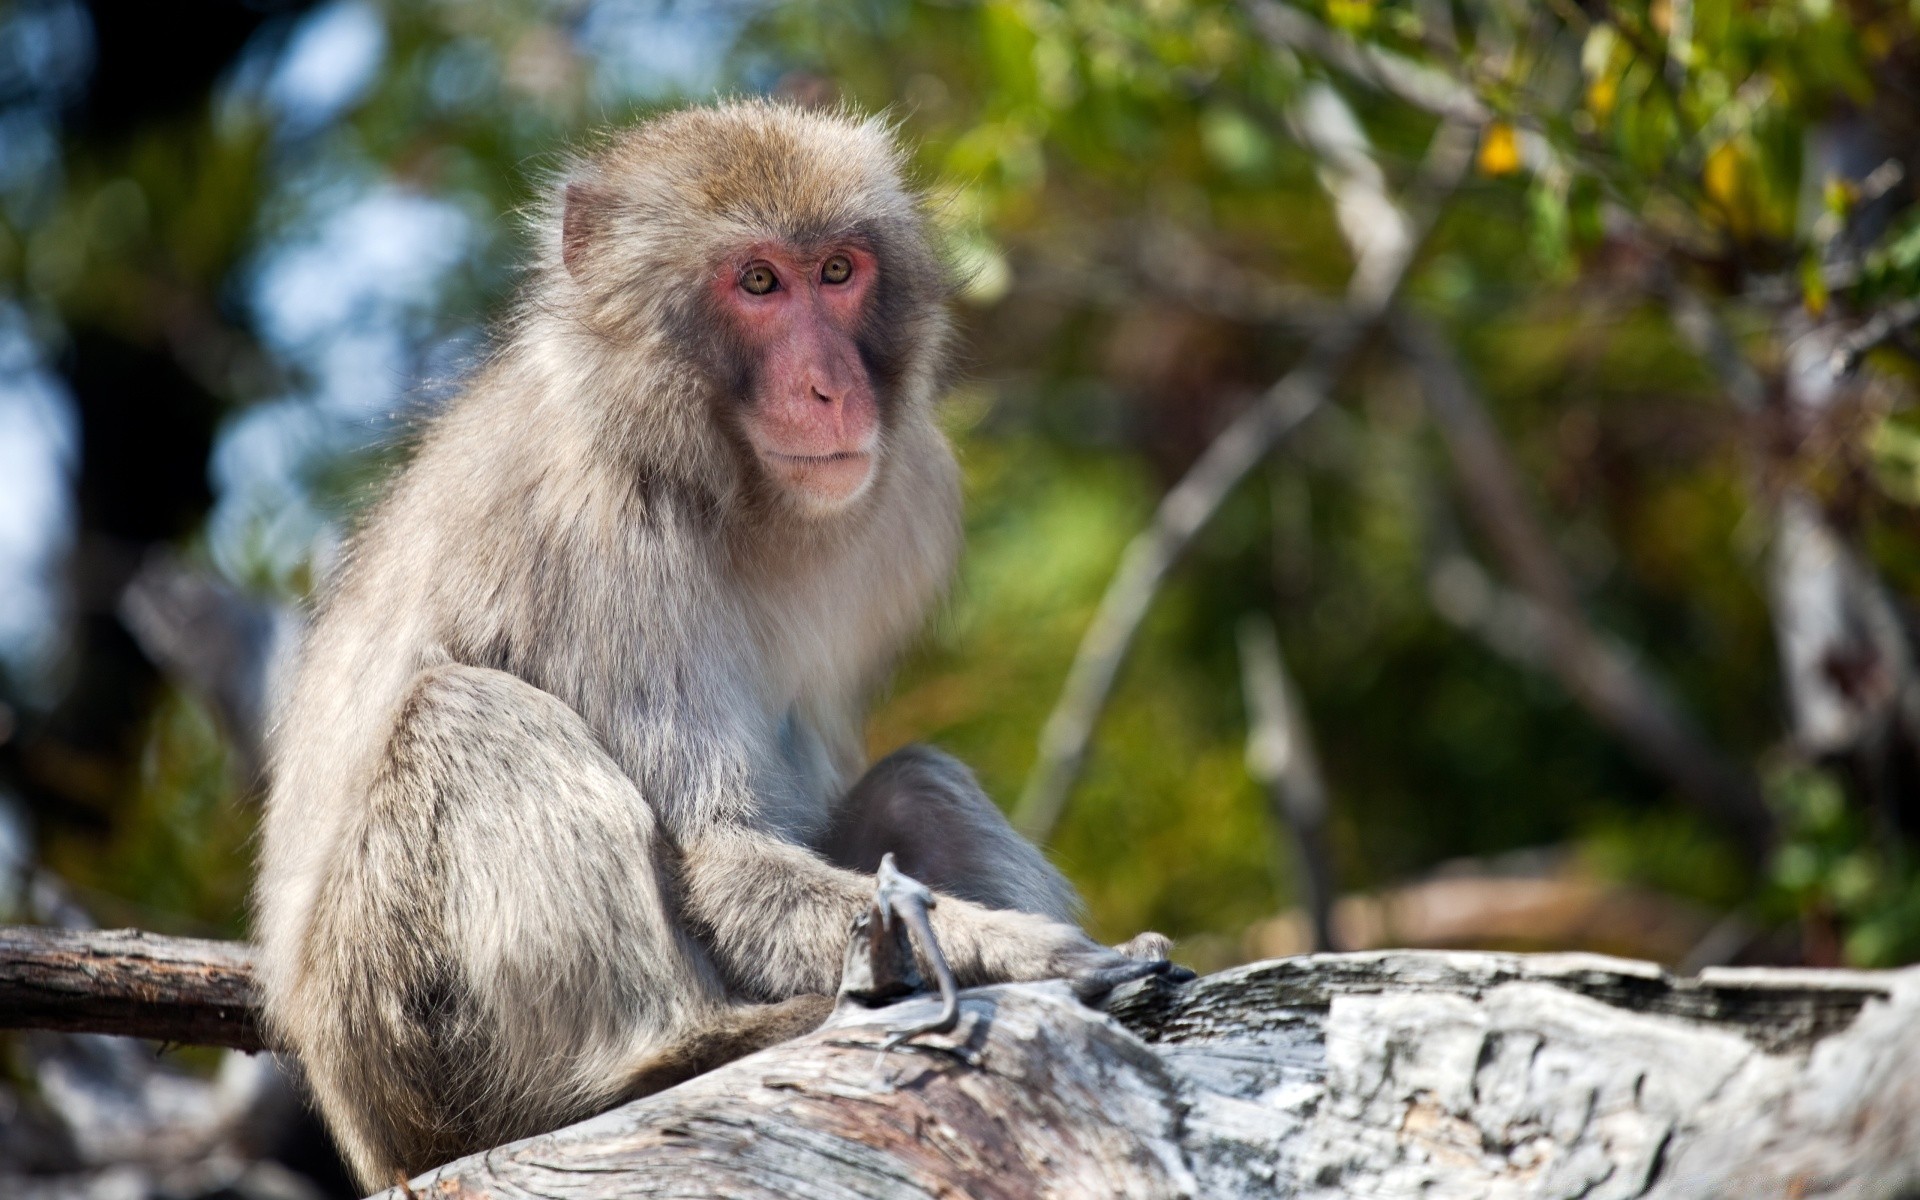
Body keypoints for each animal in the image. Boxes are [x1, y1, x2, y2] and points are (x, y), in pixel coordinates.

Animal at [247, 98, 1175, 1182]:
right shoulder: (600, 543)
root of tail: (362, 1128)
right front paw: (1026, 954)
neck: (705, 470)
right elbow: (720, 855)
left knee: (917, 781)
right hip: (405, 1036)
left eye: (838, 271)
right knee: (468, 718)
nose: (831, 387)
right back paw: (668, 1057)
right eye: (758, 283)